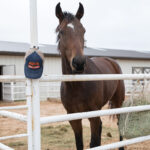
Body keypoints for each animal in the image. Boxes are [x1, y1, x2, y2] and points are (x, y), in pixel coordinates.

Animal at [55, 2, 125, 150]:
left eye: (83, 31)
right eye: (61, 31)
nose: (79, 63)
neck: (77, 85)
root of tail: (112, 61)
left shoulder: (93, 116)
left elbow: (94, 143)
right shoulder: (74, 117)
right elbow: (80, 143)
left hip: (118, 102)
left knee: (119, 124)